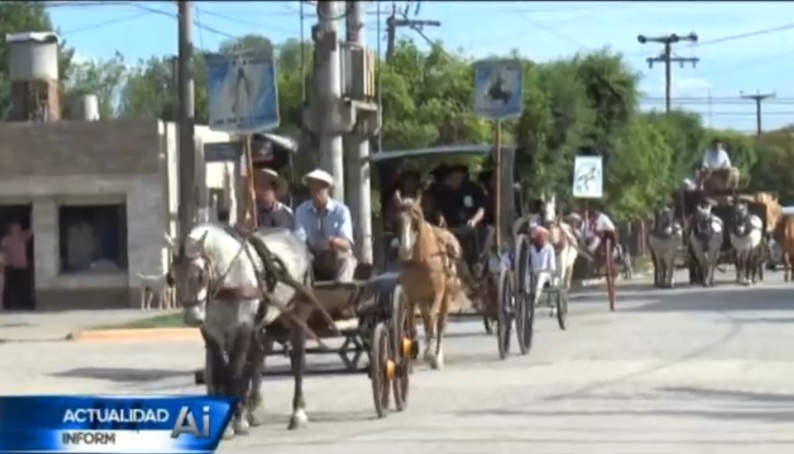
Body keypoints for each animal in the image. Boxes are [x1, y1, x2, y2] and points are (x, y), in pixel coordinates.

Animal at [167, 224, 335, 434]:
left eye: (200, 274)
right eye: (173, 277)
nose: (192, 317)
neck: (227, 279)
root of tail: (294, 238)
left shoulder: (243, 328)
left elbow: (235, 372)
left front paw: (237, 421)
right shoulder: (212, 333)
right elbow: (221, 372)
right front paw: (233, 421)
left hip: (297, 314)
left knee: (297, 362)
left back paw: (297, 414)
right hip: (265, 326)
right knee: (257, 359)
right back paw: (254, 409)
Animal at [394, 193, 471, 370]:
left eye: (416, 218)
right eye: (398, 220)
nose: (405, 251)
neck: (421, 260)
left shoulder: (438, 293)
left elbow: (432, 321)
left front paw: (430, 354)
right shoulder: (412, 297)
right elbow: (413, 325)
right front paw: (413, 352)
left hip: (446, 296)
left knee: (440, 323)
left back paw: (437, 356)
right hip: (423, 299)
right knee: (428, 320)